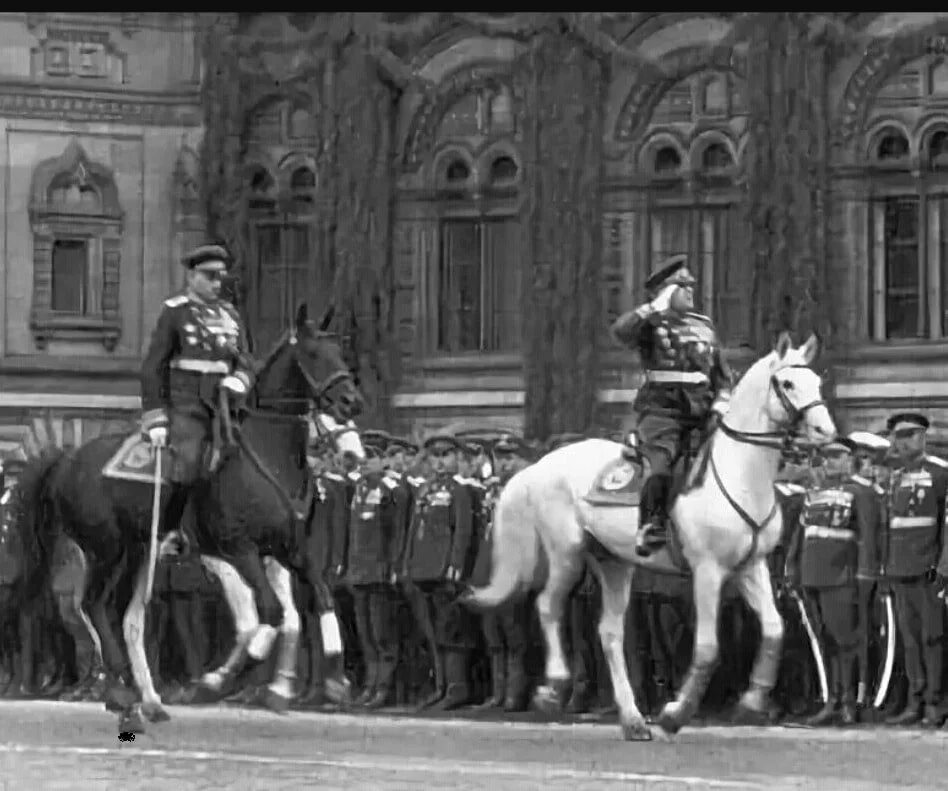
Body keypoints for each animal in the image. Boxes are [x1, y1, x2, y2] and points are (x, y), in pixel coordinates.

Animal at [18, 304, 366, 732]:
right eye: (315, 353)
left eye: (341, 351)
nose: (351, 402)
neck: (268, 459)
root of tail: (67, 457)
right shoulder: (236, 551)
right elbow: (267, 613)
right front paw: (221, 679)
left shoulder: (292, 552)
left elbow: (316, 599)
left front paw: (331, 679)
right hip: (106, 550)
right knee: (93, 607)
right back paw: (120, 692)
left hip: (137, 552)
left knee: (125, 618)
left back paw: (144, 699)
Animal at [462, 332, 832, 740]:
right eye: (787, 383)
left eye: (817, 381)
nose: (826, 432)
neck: (740, 473)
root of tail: (541, 464)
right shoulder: (708, 571)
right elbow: (707, 648)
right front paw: (675, 713)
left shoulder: (752, 566)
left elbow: (774, 630)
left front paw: (752, 701)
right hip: (566, 553)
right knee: (547, 605)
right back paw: (554, 687)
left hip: (613, 563)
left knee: (608, 632)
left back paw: (633, 718)